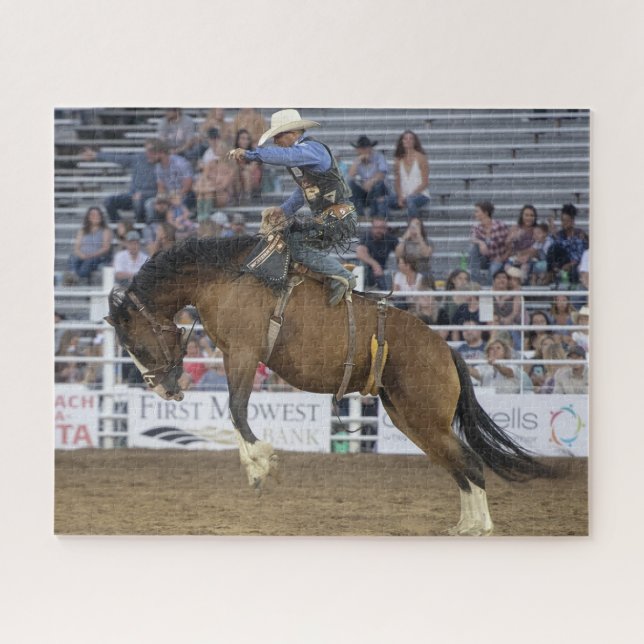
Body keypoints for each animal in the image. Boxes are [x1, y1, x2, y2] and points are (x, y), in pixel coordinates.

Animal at [105, 234, 550, 536]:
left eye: (136, 345)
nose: (162, 391)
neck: (228, 277)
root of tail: (446, 351)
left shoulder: (244, 353)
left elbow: (236, 409)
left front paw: (262, 465)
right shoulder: (237, 355)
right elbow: (234, 413)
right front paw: (255, 468)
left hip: (425, 417)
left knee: (469, 462)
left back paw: (482, 527)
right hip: (412, 419)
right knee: (456, 464)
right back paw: (465, 525)